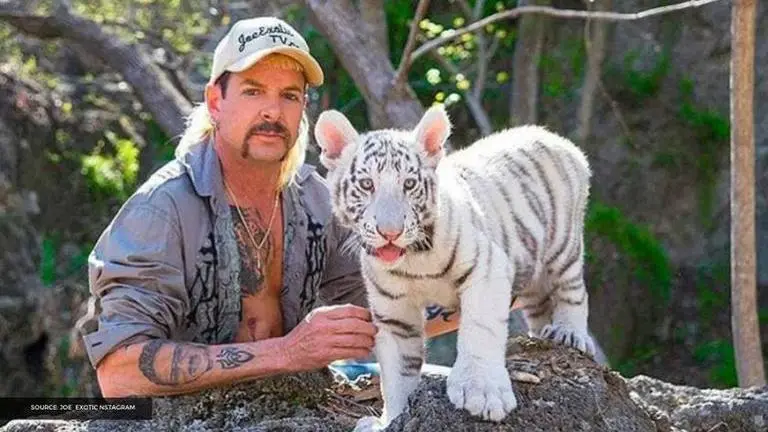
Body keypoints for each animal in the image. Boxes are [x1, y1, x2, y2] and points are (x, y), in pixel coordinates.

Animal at [314, 104, 596, 431]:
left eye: (409, 184)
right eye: (366, 185)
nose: (390, 232)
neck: (413, 259)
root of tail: (557, 138)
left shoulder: (487, 267)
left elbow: (480, 329)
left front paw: (482, 393)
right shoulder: (394, 311)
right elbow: (398, 372)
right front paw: (394, 418)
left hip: (563, 246)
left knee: (574, 290)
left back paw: (569, 333)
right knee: (539, 306)